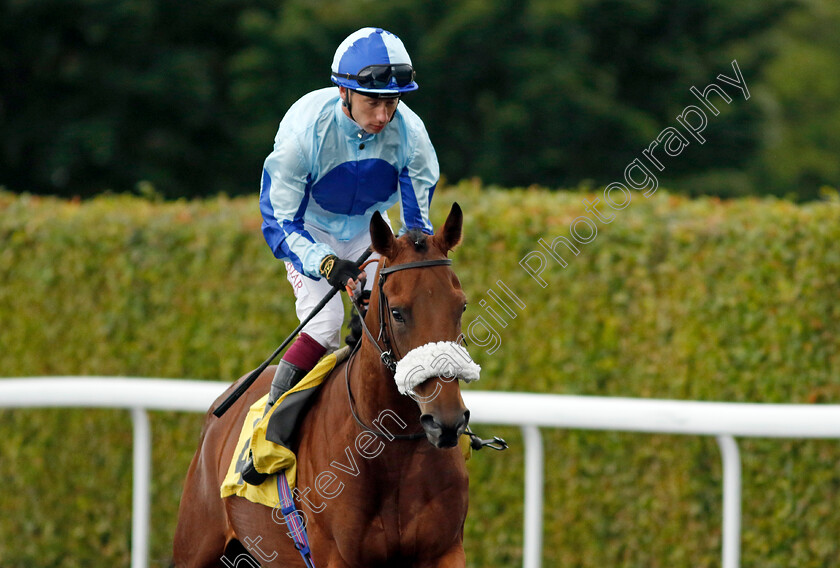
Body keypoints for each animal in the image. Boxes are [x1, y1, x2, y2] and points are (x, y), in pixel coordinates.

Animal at [171, 202, 476, 564]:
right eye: (398, 312)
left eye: (461, 306)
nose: (446, 421)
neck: (392, 453)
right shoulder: (336, 555)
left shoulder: (445, 550)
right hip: (196, 546)